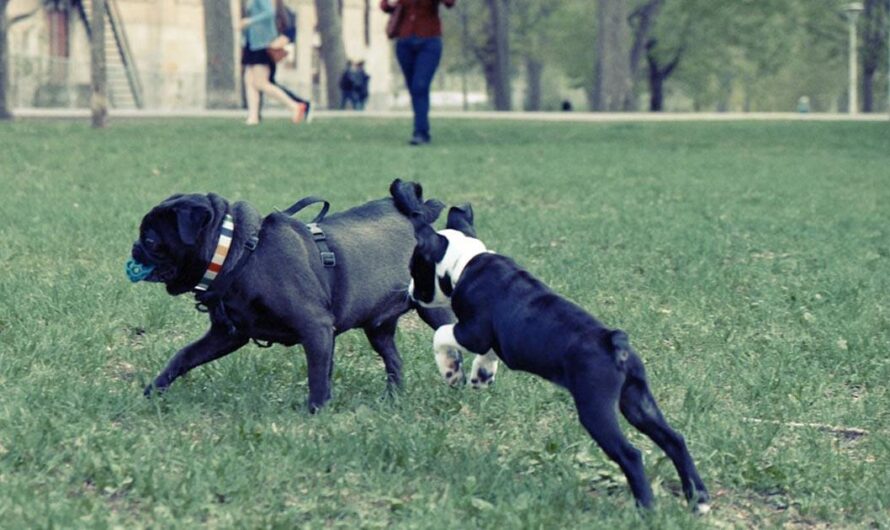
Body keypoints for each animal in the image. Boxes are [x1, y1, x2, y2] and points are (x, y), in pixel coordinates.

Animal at [392, 179, 712, 510]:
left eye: (415, 269)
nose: (410, 290)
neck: (464, 262)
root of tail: (615, 342)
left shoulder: (472, 330)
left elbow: (442, 333)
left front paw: (451, 370)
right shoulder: (490, 336)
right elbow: (488, 353)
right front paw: (481, 375)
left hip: (595, 407)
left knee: (630, 454)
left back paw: (646, 508)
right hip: (637, 401)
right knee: (673, 439)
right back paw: (698, 500)